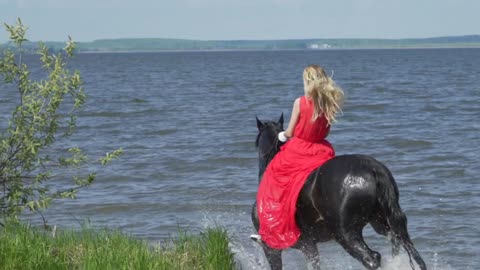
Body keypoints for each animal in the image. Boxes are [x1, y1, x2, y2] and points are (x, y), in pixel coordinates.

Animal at [251, 115, 428, 270]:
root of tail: (372, 168)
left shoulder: (272, 249)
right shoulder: (309, 245)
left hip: (345, 234)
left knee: (371, 258)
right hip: (383, 223)